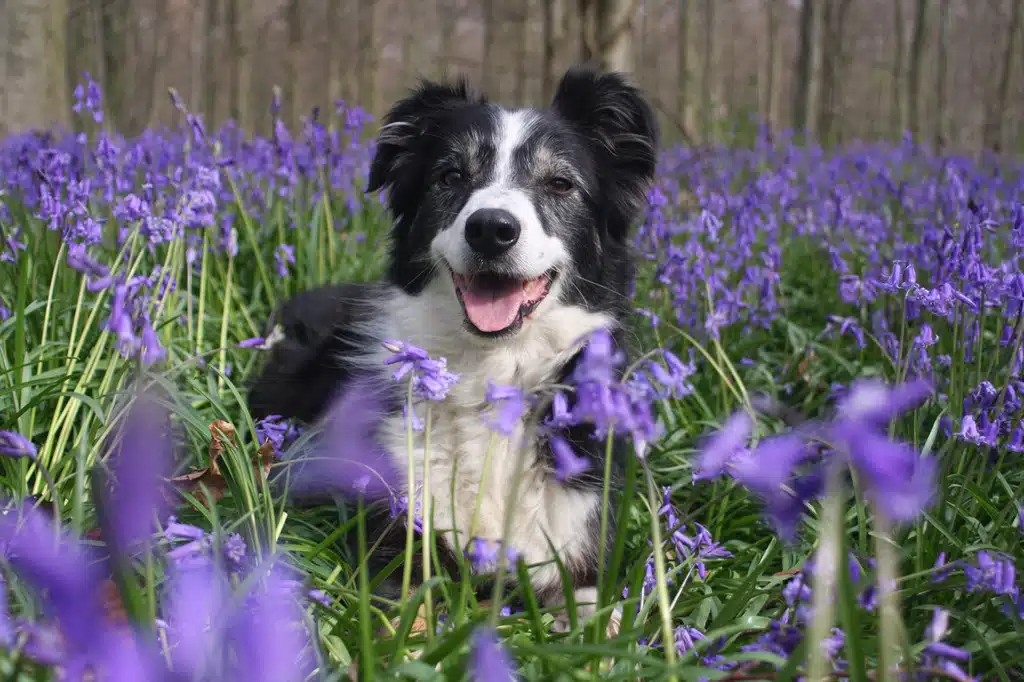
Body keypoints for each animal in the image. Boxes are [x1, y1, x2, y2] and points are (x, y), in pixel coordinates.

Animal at [251, 65, 659, 626]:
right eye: (450, 177)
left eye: (559, 183)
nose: (491, 229)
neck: (494, 369)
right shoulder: (397, 534)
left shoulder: (579, 542)